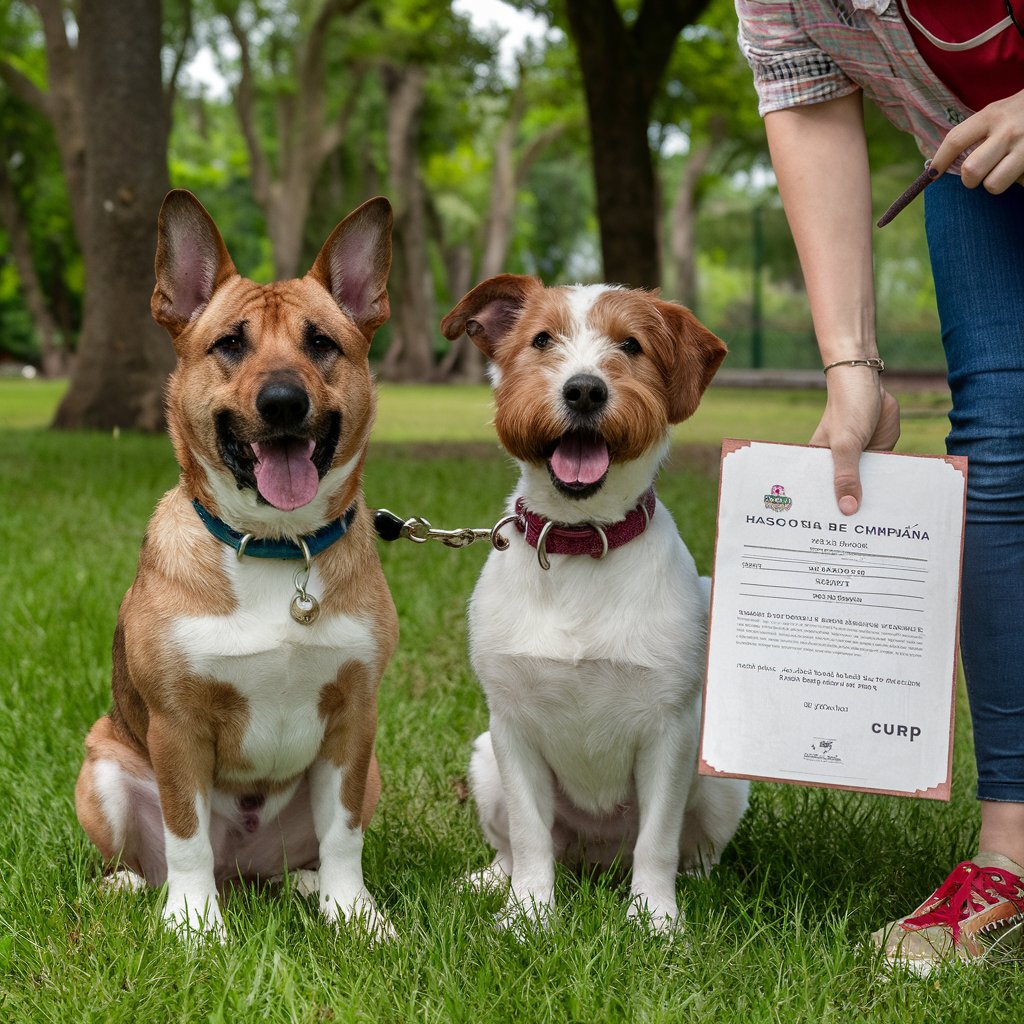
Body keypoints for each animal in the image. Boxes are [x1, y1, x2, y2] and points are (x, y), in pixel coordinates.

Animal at [72, 192, 397, 942]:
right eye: (229, 344)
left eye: (320, 343)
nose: (283, 402)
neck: (277, 549)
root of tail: (242, 873)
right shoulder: (177, 727)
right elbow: (187, 836)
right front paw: (195, 926)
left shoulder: (355, 722)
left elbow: (344, 836)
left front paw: (352, 913)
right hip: (100, 764)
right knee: (153, 858)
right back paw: (134, 887)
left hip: (368, 775)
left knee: (304, 855)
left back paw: (308, 886)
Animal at [442, 276, 753, 933]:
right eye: (541, 339)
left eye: (631, 345)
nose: (584, 388)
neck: (581, 541)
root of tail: (597, 860)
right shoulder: (512, 730)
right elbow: (531, 837)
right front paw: (529, 915)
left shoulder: (670, 733)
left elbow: (657, 840)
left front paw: (654, 920)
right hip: (484, 762)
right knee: (517, 847)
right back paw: (491, 881)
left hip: (722, 789)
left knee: (694, 850)